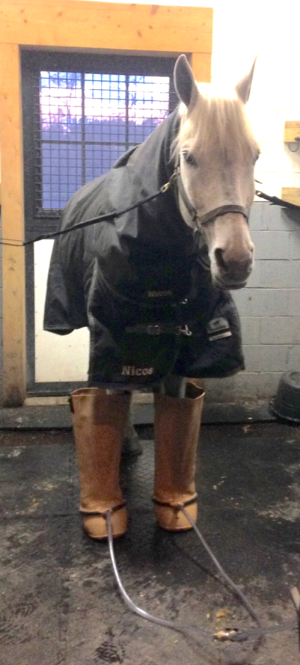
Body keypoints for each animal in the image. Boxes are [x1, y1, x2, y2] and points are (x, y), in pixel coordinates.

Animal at [43, 53, 258, 540]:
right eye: (189, 157)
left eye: (254, 154)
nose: (235, 261)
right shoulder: (113, 333)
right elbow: (106, 398)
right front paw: (107, 509)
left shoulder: (186, 346)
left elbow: (176, 411)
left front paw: (174, 504)